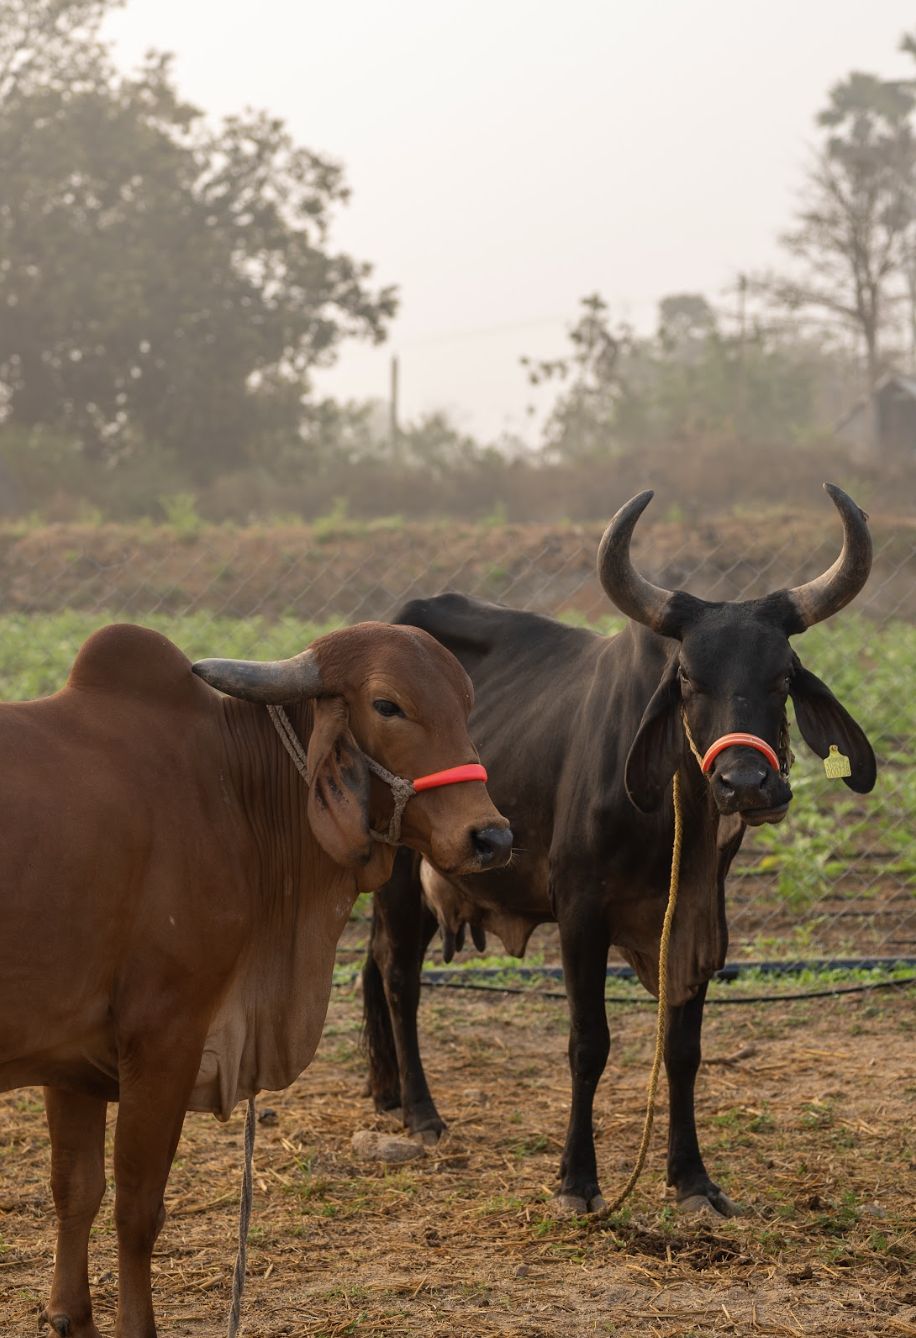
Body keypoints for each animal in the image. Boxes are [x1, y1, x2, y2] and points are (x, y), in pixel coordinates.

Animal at [0, 619, 512, 1338]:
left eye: (467, 703)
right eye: (387, 705)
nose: (491, 837)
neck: (230, 787)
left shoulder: (70, 1054)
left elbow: (76, 1190)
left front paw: (70, 1315)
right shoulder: (164, 1036)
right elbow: (138, 1206)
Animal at [361, 484, 876, 1218]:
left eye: (783, 677)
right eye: (686, 677)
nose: (747, 783)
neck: (670, 822)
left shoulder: (696, 922)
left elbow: (683, 1049)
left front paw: (692, 1179)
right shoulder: (580, 914)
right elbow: (589, 1043)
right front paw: (577, 1180)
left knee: (373, 965)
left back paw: (386, 1093)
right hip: (402, 875)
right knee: (399, 975)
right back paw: (423, 1113)